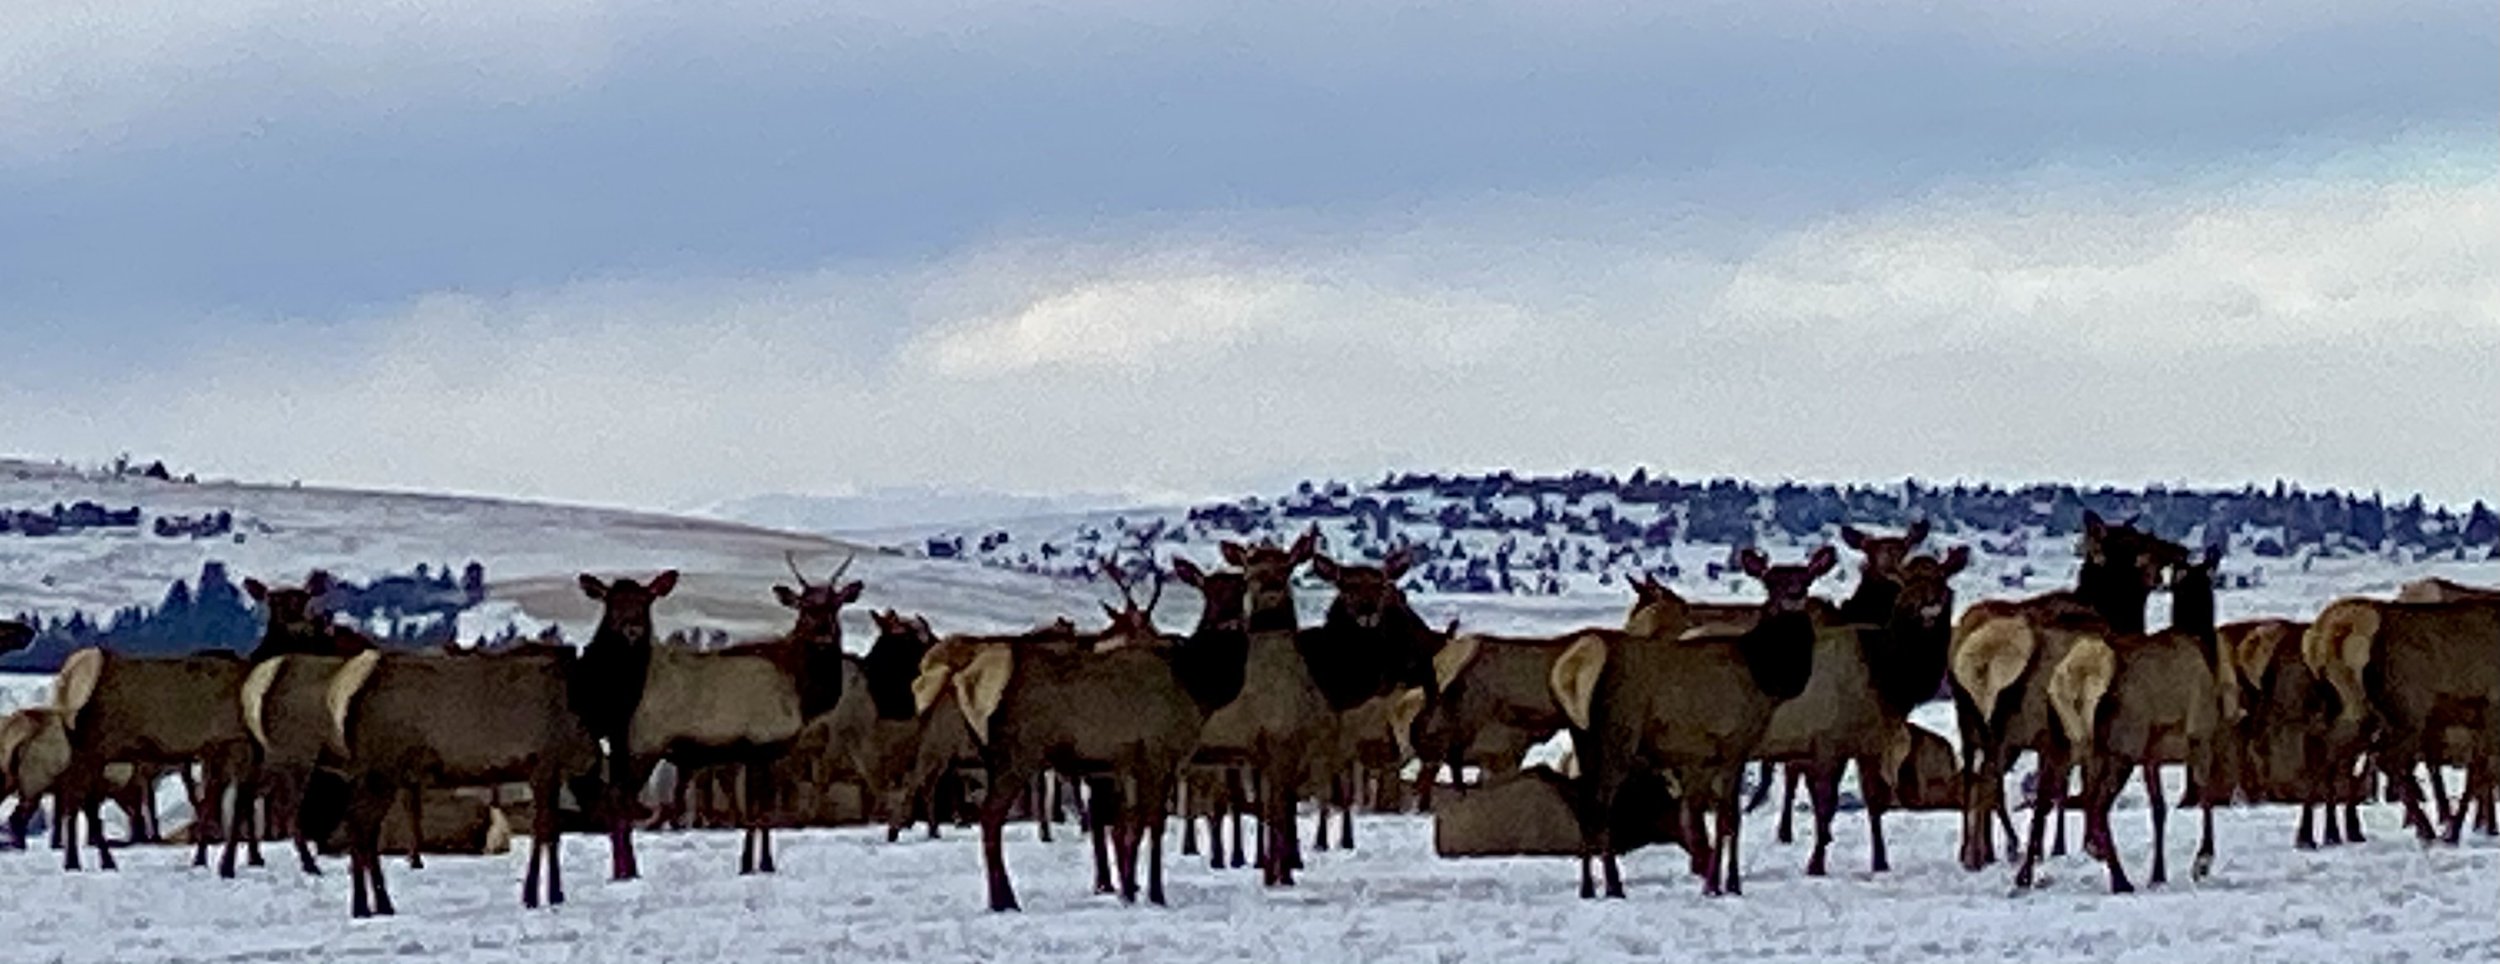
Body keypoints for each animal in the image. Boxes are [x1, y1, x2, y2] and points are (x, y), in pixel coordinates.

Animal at [321, 642, 602, 916]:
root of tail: (344, 690)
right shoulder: (544, 764)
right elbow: (543, 832)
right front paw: (537, 896)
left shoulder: (552, 773)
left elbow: (551, 832)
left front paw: (550, 895)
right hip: (381, 768)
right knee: (360, 826)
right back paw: (364, 906)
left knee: (366, 830)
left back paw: (379, 905)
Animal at [928, 553, 1251, 910]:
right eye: (1208, 592)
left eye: (1243, 588)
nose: (1232, 627)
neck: (1198, 687)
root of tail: (964, 676)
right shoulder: (1159, 751)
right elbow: (1152, 824)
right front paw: (1155, 893)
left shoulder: (1126, 762)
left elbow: (1129, 827)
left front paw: (1128, 890)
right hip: (1016, 751)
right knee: (990, 818)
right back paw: (1004, 901)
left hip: (994, 753)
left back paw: (1004, 897)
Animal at [1548, 545, 1839, 898]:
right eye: (1770, 582)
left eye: (1806, 579)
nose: (1794, 597)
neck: (1765, 679)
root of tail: (1573, 670)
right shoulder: (1734, 743)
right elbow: (1728, 819)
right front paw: (1725, 884)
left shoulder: (1703, 756)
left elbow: (1711, 819)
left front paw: (1718, 881)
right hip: (1617, 735)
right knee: (1601, 807)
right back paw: (1614, 886)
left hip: (1583, 736)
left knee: (1585, 807)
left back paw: (1589, 887)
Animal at [1947, 511, 2185, 875]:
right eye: (2135, 540)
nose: (2179, 549)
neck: (2114, 612)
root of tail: (1981, 653)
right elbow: (2076, 785)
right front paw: (2082, 846)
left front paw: (2054, 848)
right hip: (2006, 727)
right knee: (1990, 780)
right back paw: (1995, 850)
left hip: (1971, 721)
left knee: (1973, 777)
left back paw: (1976, 850)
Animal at [2046, 545, 2232, 892]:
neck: (2201, 644)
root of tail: (2083, 672)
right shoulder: (2201, 733)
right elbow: (2205, 796)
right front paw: (2202, 861)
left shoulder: (2151, 755)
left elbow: (2158, 809)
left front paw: (2158, 874)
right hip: (2122, 745)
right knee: (2096, 807)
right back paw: (2119, 878)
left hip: (2088, 745)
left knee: (2086, 803)